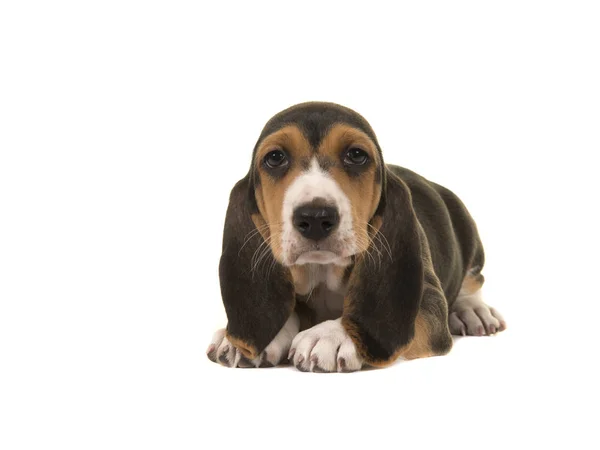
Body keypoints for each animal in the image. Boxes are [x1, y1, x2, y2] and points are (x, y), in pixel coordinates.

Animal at [206, 102, 506, 372]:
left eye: (356, 154)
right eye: (275, 157)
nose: (315, 218)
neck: (323, 271)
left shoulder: (429, 300)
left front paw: (331, 336)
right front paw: (239, 339)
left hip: (470, 235)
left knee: (473, 281)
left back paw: (473, 311)